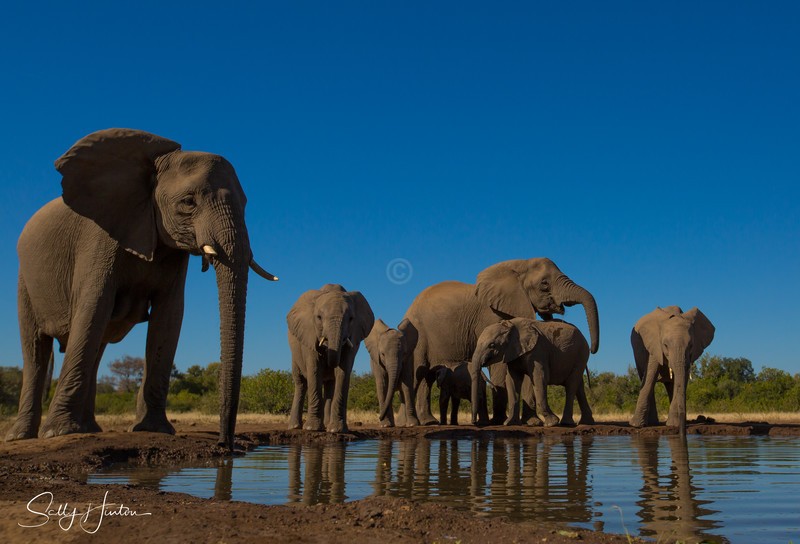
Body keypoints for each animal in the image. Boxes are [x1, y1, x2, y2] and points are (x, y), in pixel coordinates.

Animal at [6, 128, 276, 447]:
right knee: (36, 349)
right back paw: (21, 437)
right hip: (25, 280)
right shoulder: (99, 236)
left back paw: (89, 429)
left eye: (245, 205)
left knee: (95, 346)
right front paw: (59, 432)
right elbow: (93, 307)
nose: (225, 444)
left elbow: (169, 318)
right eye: (188, 202)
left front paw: (154, 429)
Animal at [287, 284, 374, 433]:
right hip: (295, 353)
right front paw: (312, 429)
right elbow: (315, 370)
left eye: (351, 319)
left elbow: (343, 371)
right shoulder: (309, 335)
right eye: (319, 317)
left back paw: (327, 425)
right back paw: (295, 427)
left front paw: (337, 430)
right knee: (301, 383)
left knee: (329, 386)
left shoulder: (354, 336)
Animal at [403, 258, 599, 425]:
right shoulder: (490, 315)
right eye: (544, 283)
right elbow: (500, 366)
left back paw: (425, 422)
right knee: (417, 372)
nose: (594, 349)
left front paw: (531, 422)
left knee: (426, 376)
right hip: (419, 333)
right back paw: (414, 423)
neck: (518, 265)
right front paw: (500, 421)